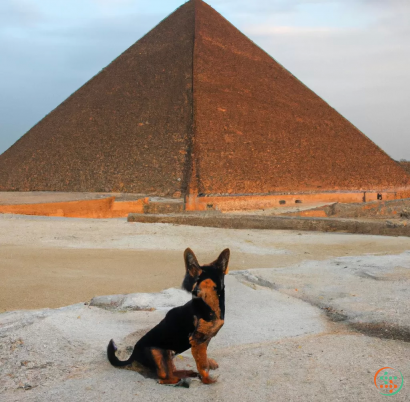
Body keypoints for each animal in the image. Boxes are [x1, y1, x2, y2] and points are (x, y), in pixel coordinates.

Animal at [106, 247, 231, 384]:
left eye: (201, 277)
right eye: (192, 274)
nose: (189, 289)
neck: (208, 304)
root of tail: (133, 355)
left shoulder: (205, 339)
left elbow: (204, 357)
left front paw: (208, 366)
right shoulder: (197, 340)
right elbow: (202, 364)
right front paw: (207, 379)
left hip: (169, 354)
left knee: (171, 371)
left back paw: (186, 373)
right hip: (159, 353)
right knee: (164, 378)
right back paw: (180, 380)